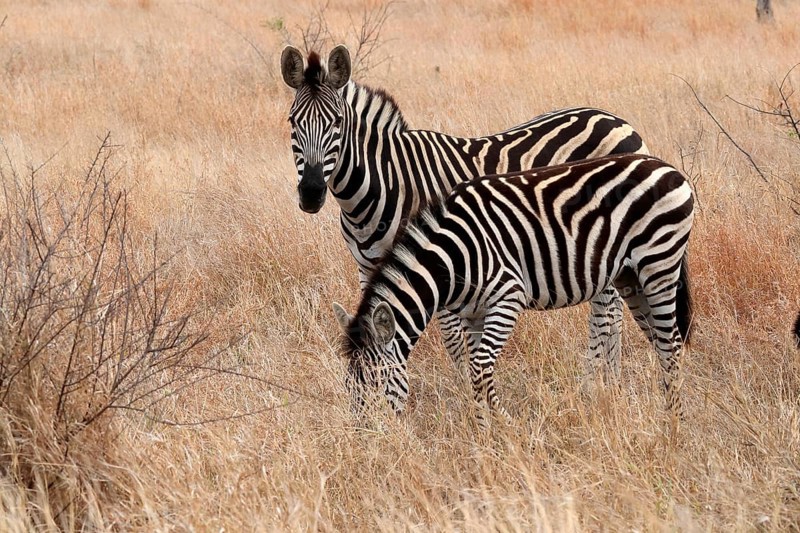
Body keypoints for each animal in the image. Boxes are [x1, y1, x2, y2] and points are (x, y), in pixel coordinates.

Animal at [281, 44, 650, 385]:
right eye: (292, 123)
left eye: (337, 123)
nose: (311, 192)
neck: (382, 182)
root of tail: (618, 121)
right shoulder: (368, 267)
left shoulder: (437, 258)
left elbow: (453, 340)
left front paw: (461, 391)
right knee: (609, 303)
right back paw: (609, 378)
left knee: (608, 308)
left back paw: (595, 380)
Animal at [333, 154, 695, 425]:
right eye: (349, 386)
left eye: (378, 383)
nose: (368, 440)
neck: (452, 257)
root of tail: (664, 165)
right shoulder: (473, 314)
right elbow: (473, 369)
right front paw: (484, 435)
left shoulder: (508, 297)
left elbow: (480, 368)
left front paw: (505, 426)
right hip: (630, 278)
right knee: (660, 343)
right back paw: (662, 411)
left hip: (659, 266)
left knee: (672, 344)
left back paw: (673, 425)